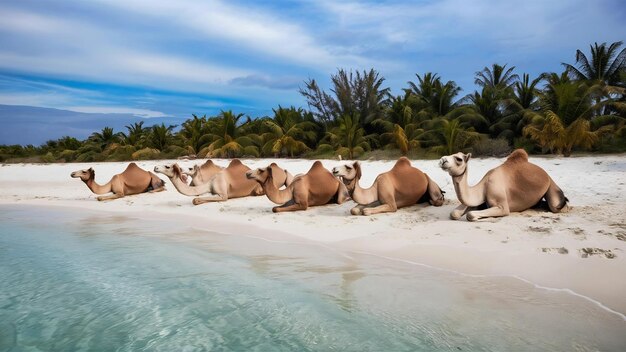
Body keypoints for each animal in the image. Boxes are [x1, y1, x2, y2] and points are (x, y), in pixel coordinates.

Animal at [156, 159, 292, 205]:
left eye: (167, 166)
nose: (155, 167)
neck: (210, 182)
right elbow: (196, 199)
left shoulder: (223, 195)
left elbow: (196, 199)